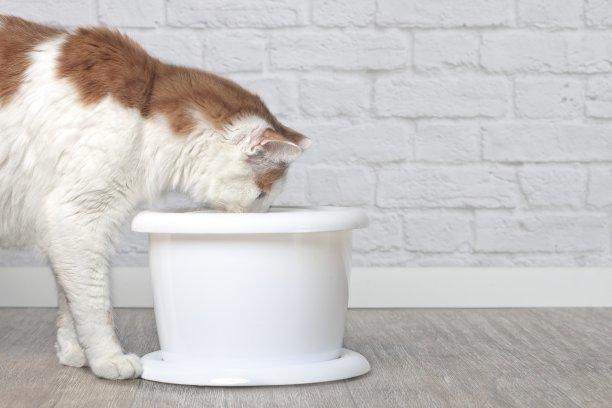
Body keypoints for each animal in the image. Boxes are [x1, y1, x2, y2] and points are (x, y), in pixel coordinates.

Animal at [0, 15, 310, 380]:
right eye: (261, 193)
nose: (262, 215)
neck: (145, 109)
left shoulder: (64, 230)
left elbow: (68, 299)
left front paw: (74, 352)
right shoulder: (77, 218)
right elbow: (94, 302)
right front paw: (108, 358)